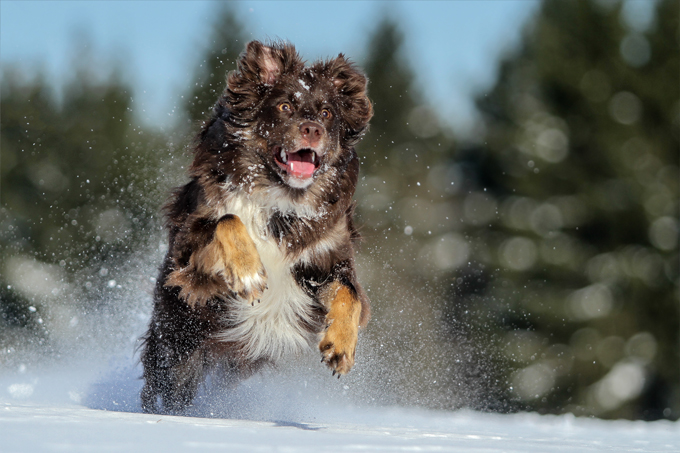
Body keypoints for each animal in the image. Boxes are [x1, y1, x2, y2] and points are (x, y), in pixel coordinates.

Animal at [139, 42, 372, 414]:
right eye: (285, 106)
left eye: (326, 114)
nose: (312, 130)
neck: (280, 201)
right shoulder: (190, 258)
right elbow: (227, 220)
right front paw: (248, 274)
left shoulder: (323, 260)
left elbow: (349, 293)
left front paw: (340, 346)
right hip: (177, 346)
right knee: (166, 391)